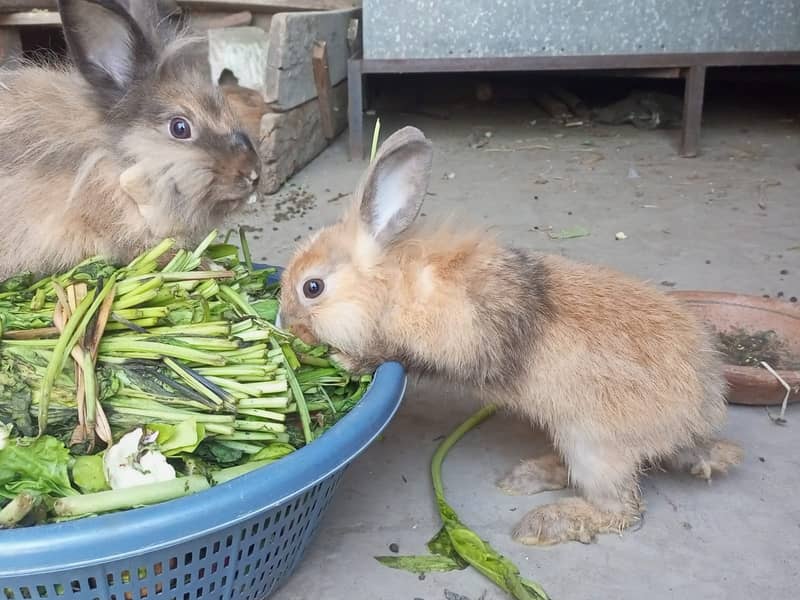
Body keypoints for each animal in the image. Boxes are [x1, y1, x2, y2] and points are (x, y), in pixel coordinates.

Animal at [280, 126, 744, 548]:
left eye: (312, 287)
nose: (286, 324)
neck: (395, 286)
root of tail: (700, 419)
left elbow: (394, 355)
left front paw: (344, 361)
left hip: (594, 447)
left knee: (621, 511)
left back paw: (544, 524)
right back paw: (525, 477)